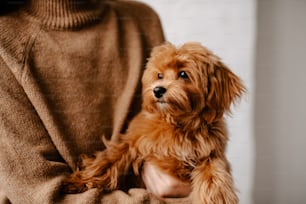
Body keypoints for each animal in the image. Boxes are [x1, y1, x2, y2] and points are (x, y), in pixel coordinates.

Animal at [62, 42, 246, 203]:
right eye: (159, 75)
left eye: (183, 74)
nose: (158, 90)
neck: (177, 124)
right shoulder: (132, 140)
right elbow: (108, 160)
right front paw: (79, 181)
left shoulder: (210, 152)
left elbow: (214, 174)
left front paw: (218, 198)